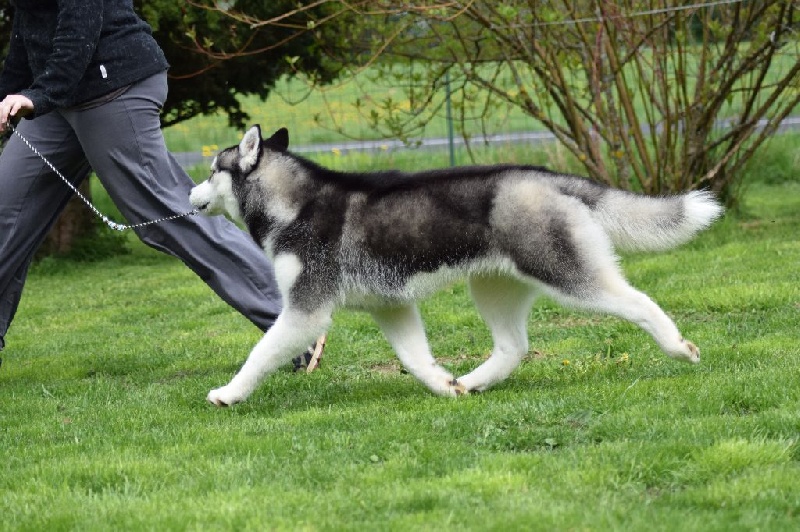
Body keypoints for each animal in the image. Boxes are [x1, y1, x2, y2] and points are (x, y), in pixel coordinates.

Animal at [189, 125, 723, 406]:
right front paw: (444, 387)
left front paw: (229, 393)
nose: (190, 193)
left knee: (639, 301)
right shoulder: (391, 305)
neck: (294, 205)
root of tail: (550, 176)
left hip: (567, 275)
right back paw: (474, 380)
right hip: (493, 287)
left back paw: (678, 347)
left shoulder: (305, 311)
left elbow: (260, 352)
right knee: (513, 346)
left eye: (212, 171)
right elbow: (414, 358)